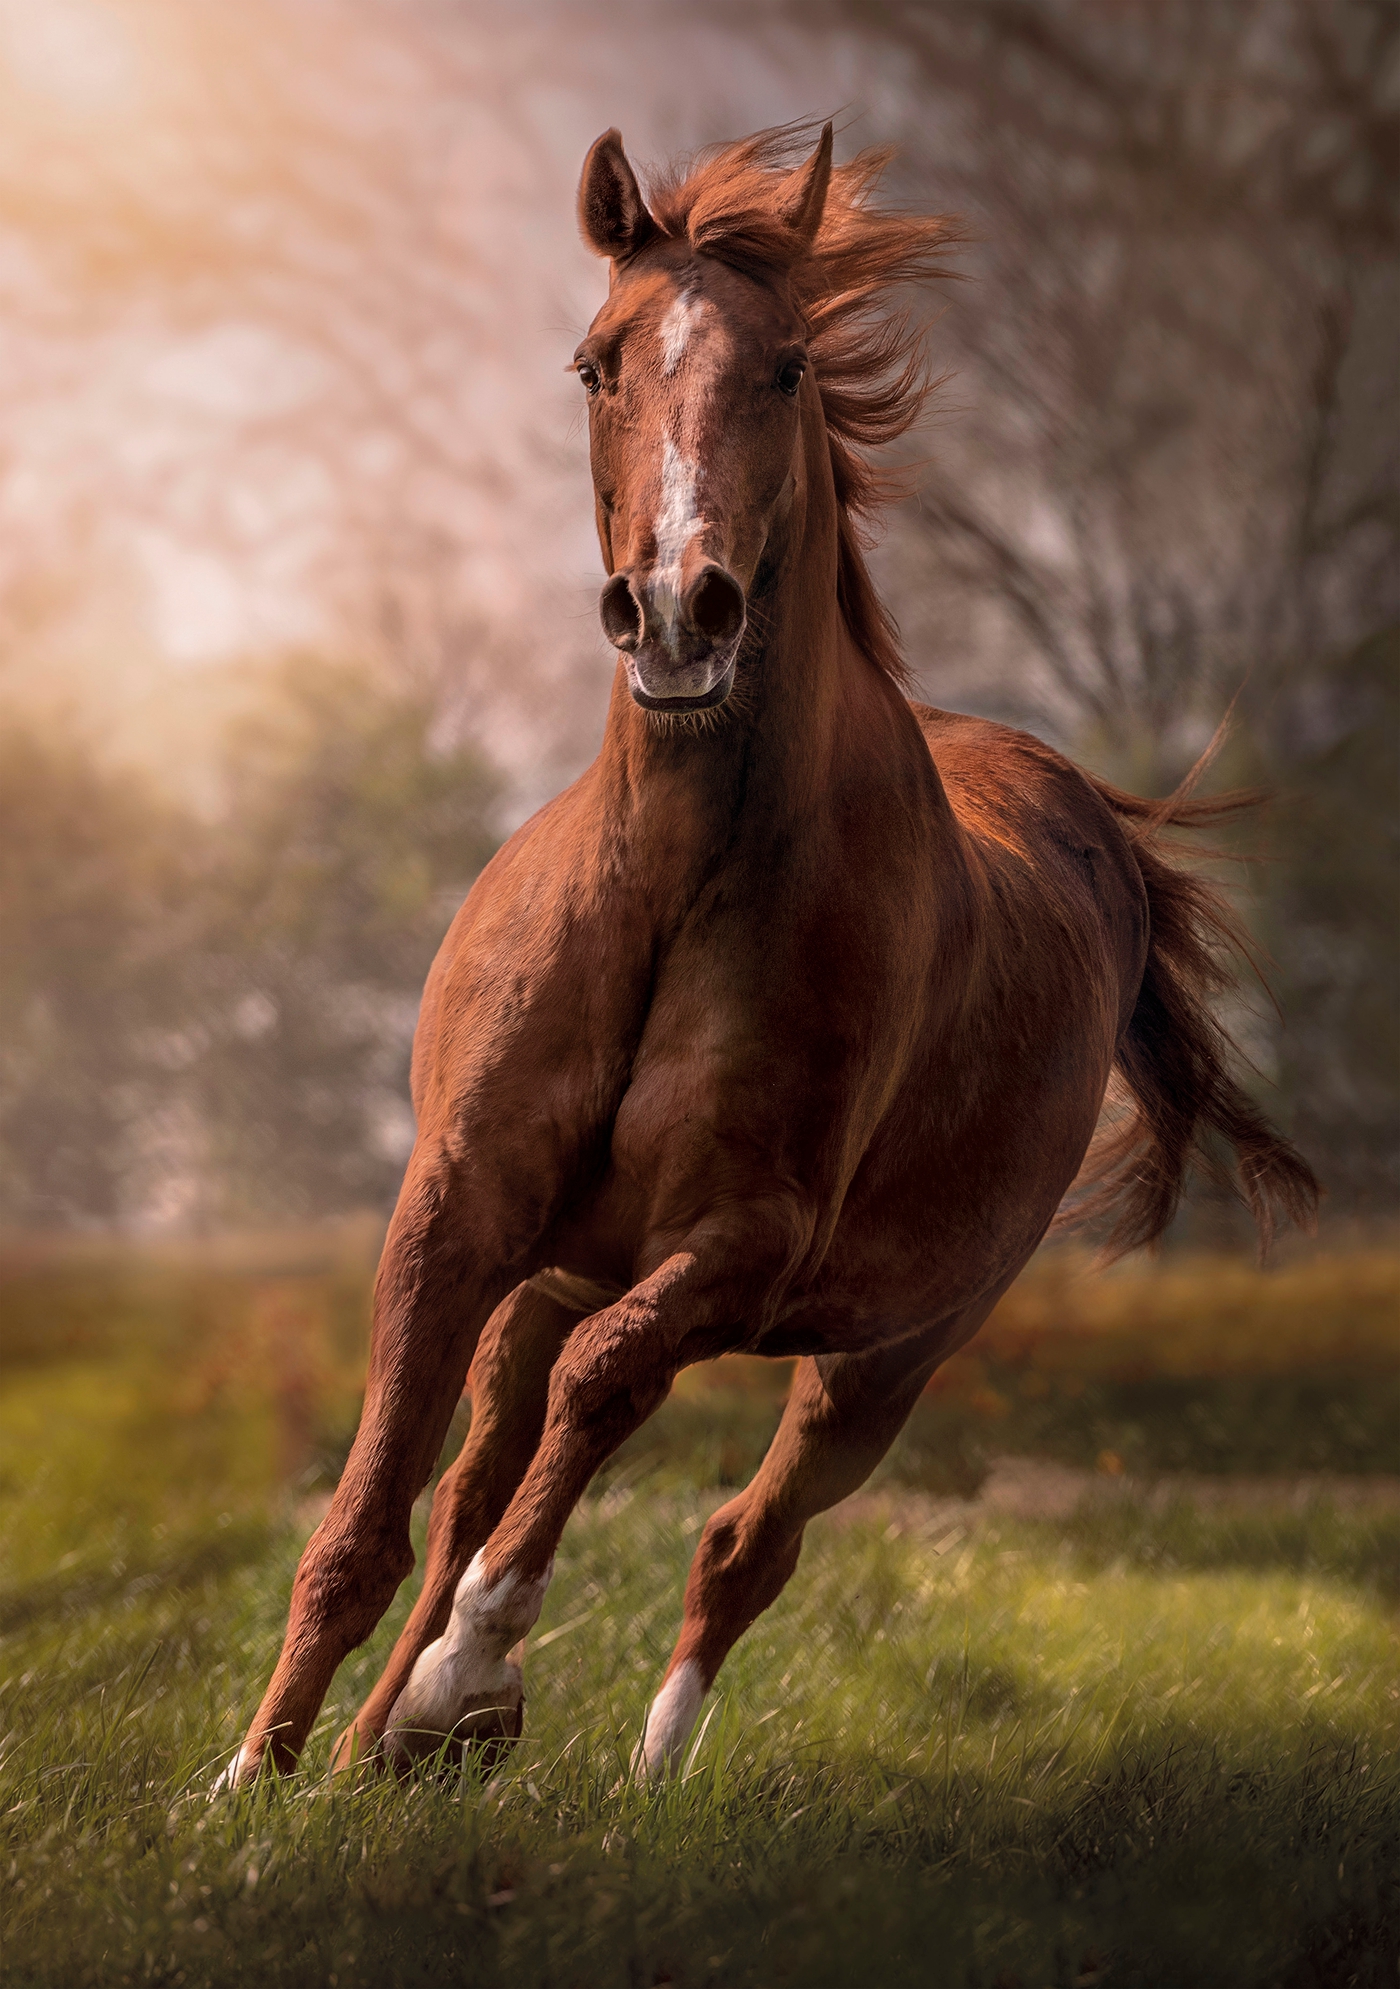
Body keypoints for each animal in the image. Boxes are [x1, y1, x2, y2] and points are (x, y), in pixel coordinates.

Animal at [220, 122, 1317, 1791]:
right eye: (596, 361)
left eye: (790, 365)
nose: (681, 608)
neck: (672, 889)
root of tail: (1095, 820)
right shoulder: (456, 1209)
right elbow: (370, 1518)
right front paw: (253, 1781)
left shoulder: (747, 1239)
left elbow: (611, 1391)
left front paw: (472, 1674)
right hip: (566, 1270)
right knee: (493, 1464)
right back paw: (375, 1748)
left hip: (886, 1356)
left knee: (739, 1537)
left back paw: (622, 1766)